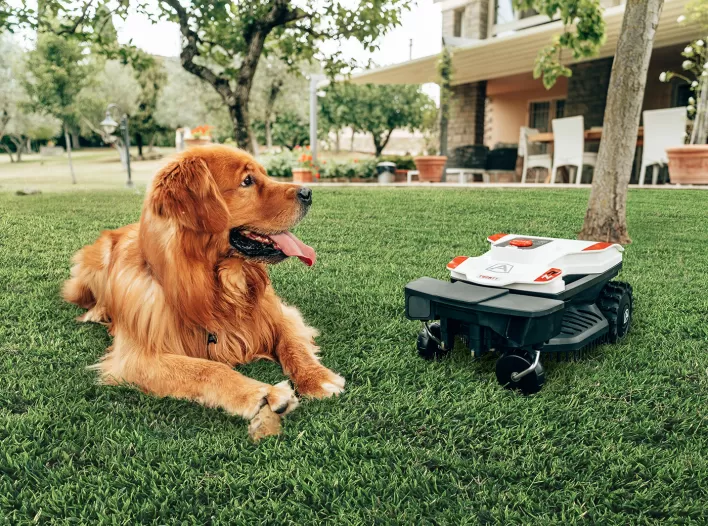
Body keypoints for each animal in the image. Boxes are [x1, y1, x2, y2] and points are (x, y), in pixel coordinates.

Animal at [62, 145, 344, 438]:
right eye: (247, 181)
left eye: (264, 174)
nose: (308, 193)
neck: (216, 288)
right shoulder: (137, 357)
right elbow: (208, 368)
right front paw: (263, 394)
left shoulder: (280, 314)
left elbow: (292, 345)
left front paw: (317, 377)